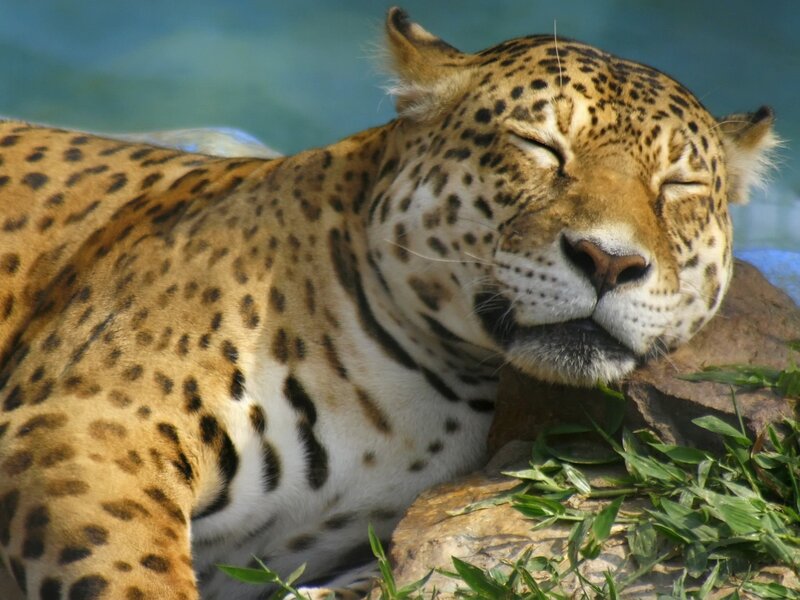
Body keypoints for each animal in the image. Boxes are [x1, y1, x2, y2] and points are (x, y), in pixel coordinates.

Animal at [0, 7, 777, 600]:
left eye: (677, 187)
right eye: (539, 146)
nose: (609, 260)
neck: (422, 393)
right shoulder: (87, 422)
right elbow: (130, 575)